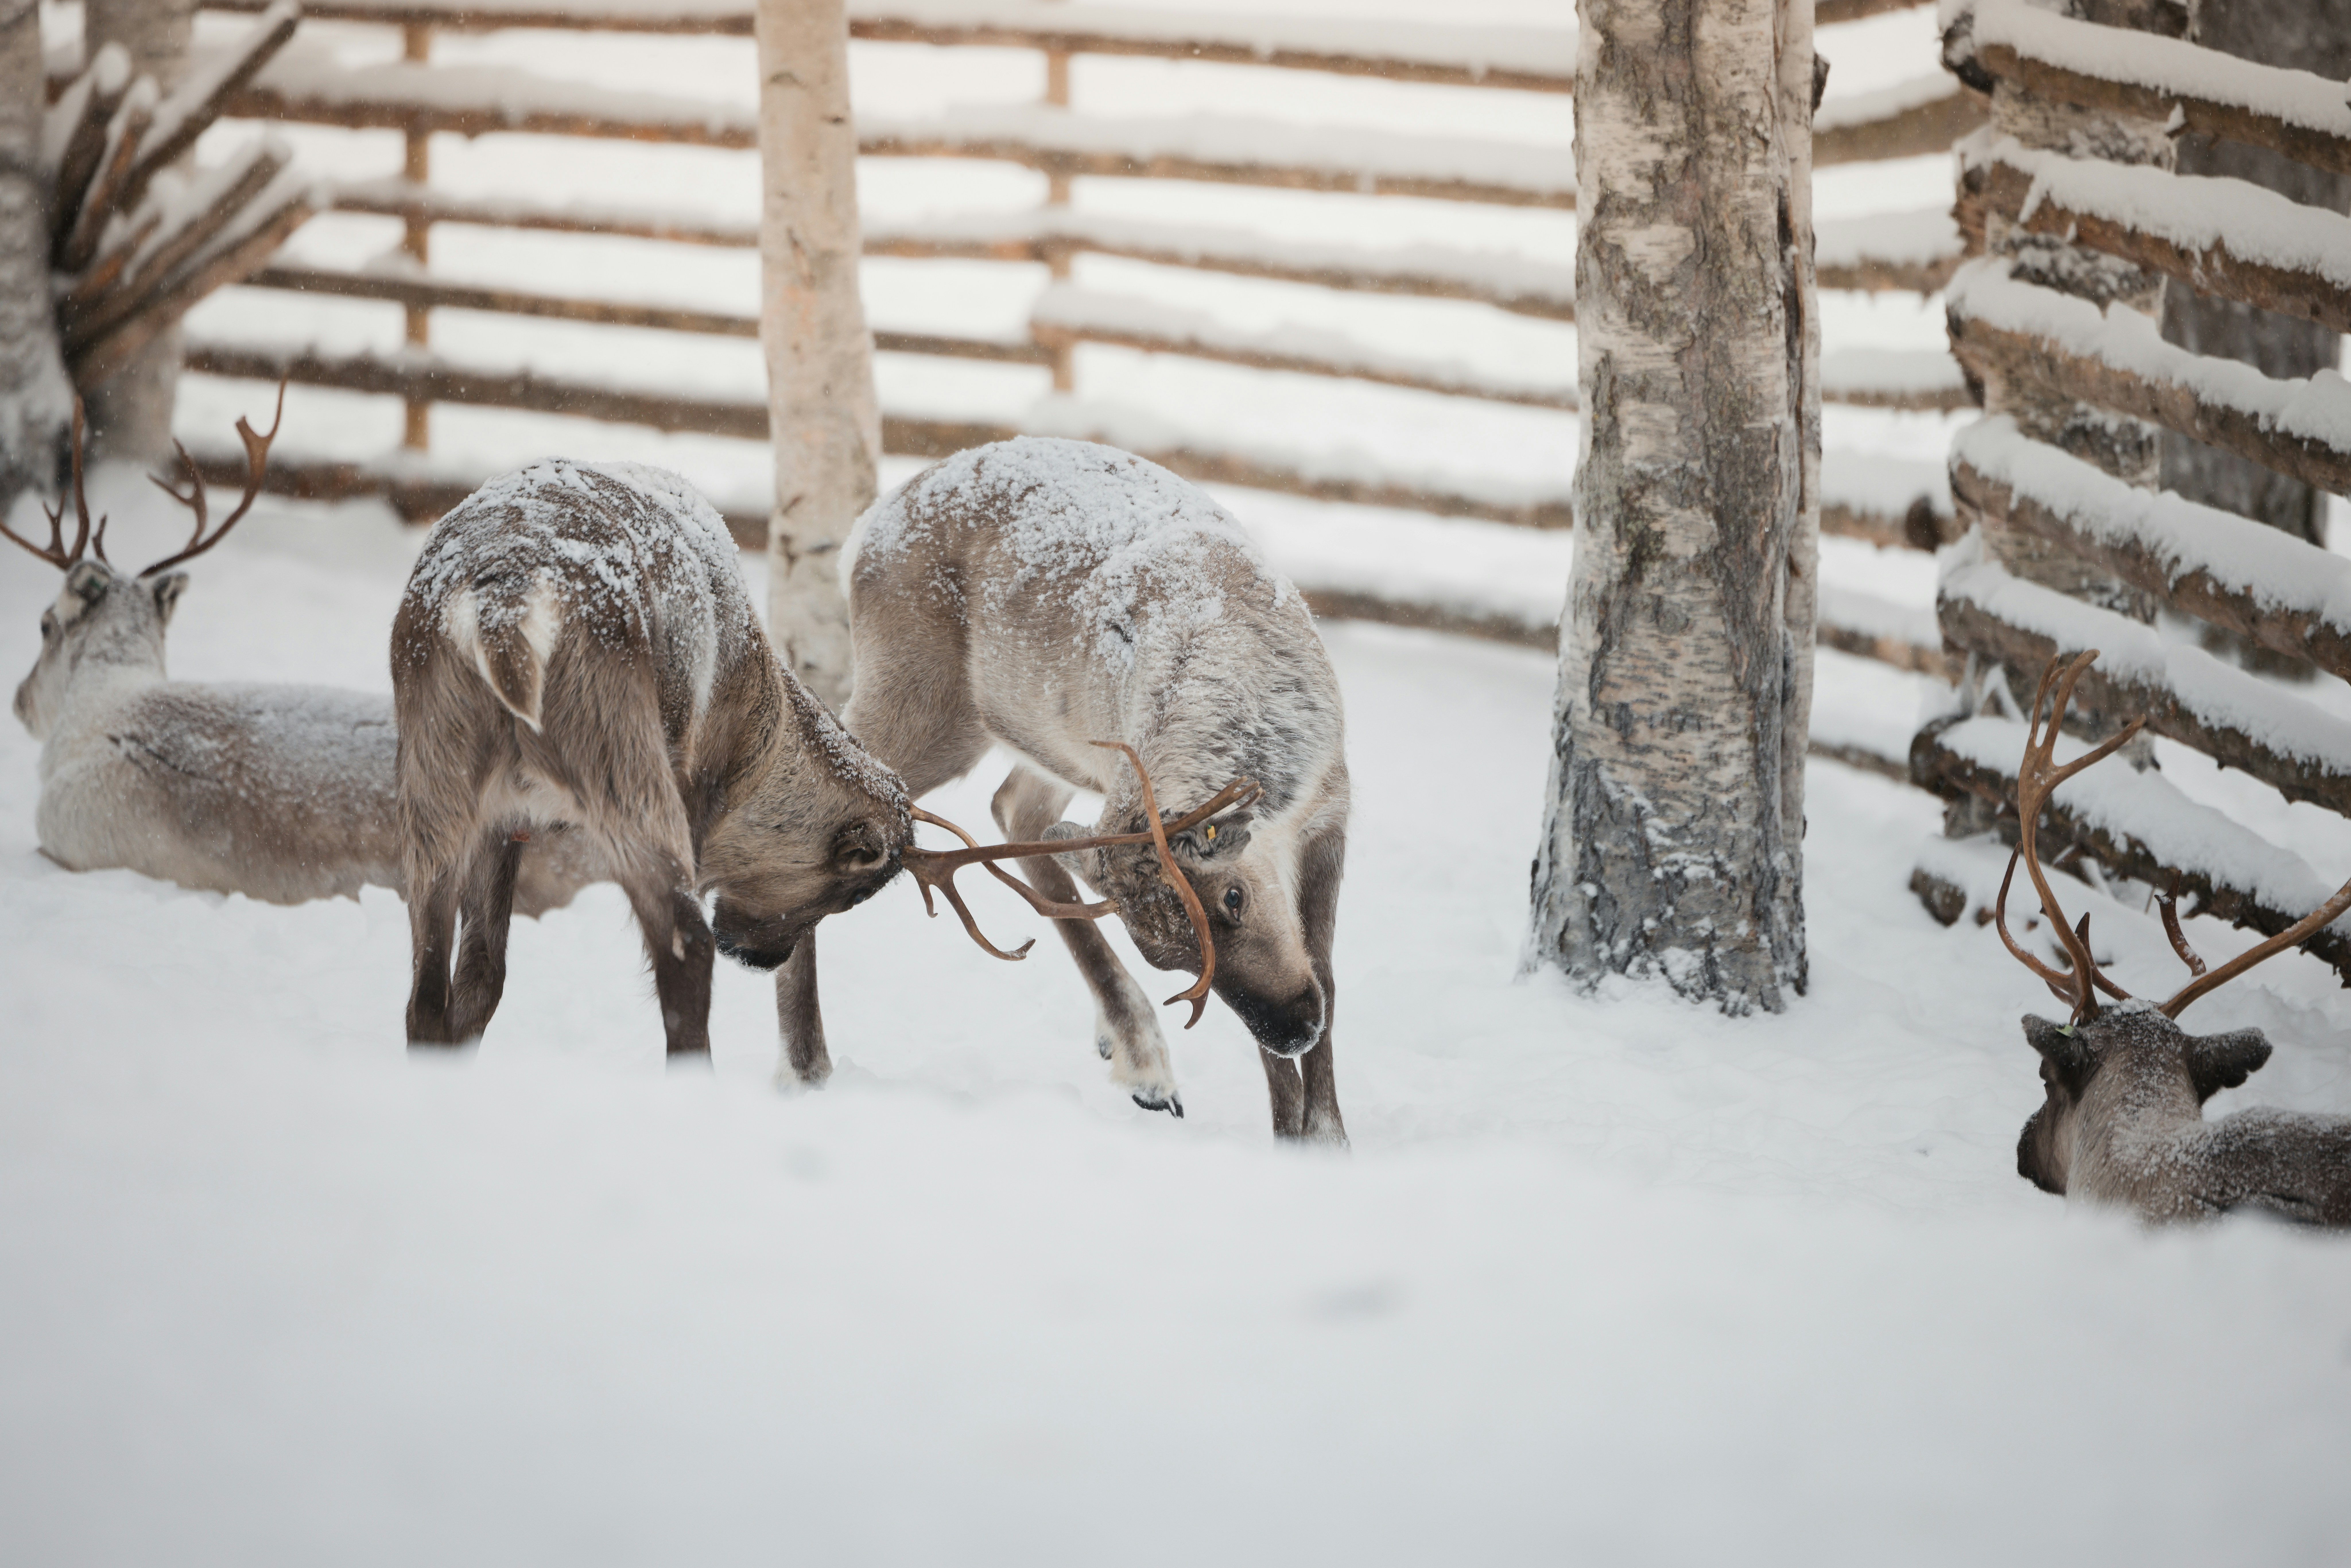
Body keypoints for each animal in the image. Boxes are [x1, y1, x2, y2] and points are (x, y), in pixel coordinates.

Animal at [390, 454, 1253, 1059]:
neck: (747, 746)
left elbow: (483, 980)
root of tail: (505, 607)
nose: (760, 957)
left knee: (424, 994)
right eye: (847, 890)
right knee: (682, 956)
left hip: (435, 782)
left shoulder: (509, 821)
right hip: (623, 771)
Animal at [775, 436, 1352, 1143]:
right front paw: (1298, 1140)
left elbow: (1326, 971)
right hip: (926, 702)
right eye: (1170, 961)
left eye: (1235, 898)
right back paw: (805, 1066)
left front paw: (1323, 1134)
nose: (1292, 1029)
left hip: (1052, 743)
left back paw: (1137, 1057)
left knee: (1013, 810)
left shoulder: (1331, 806)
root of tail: (864, 530)